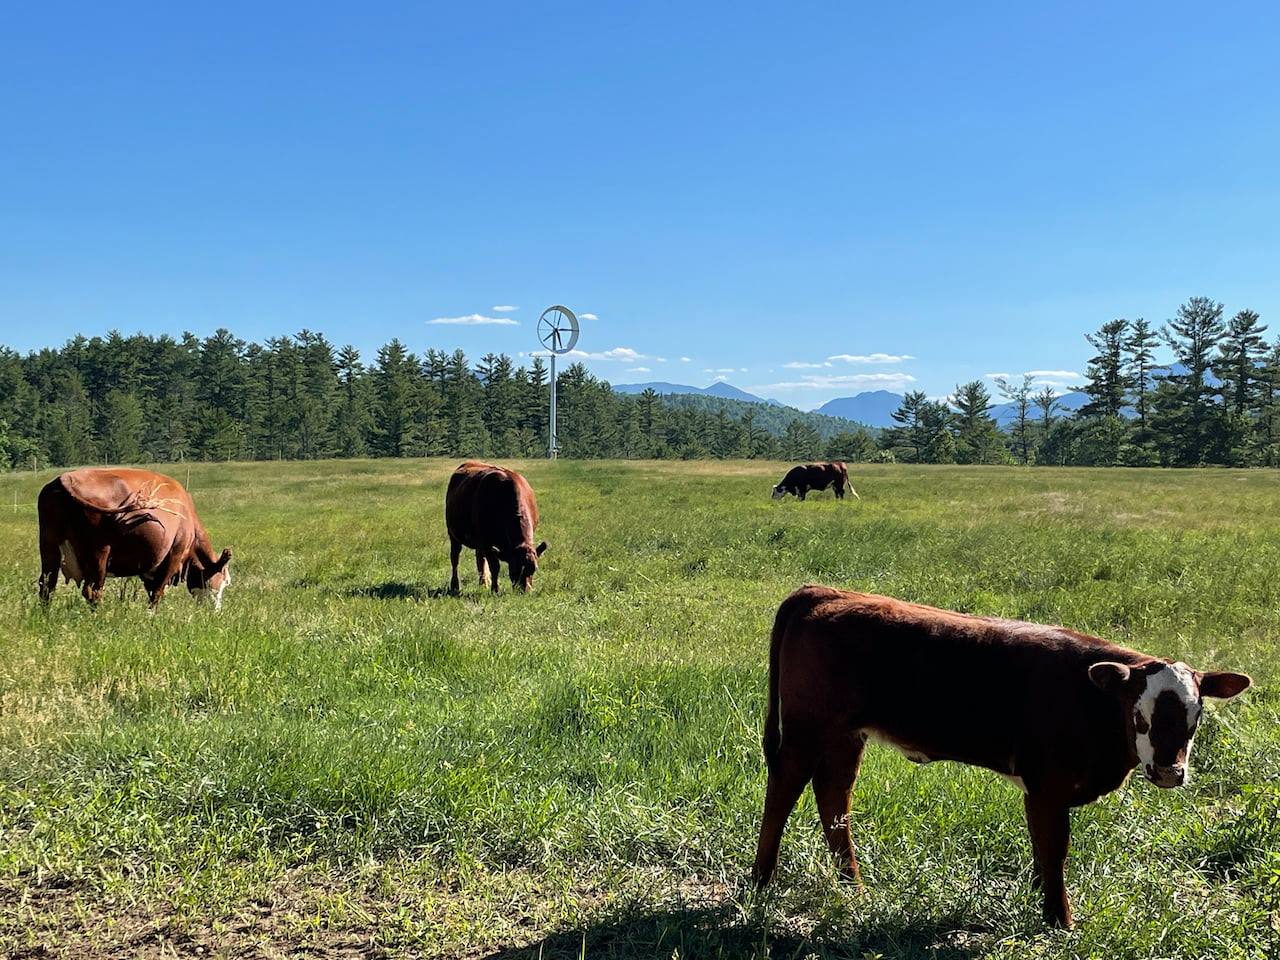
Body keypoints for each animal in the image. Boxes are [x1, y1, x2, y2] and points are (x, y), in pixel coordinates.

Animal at [38, 468, 233, 609]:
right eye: (223, 582)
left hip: (49, 546)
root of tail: (67, 477)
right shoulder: (174, 555)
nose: (216, 611)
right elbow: (157, 593)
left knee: (46, 586)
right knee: (93, 591)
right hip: (99, 552)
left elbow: (151, 590)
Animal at [445, 461, 547, 594]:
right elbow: (495, 566)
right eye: (514, 569)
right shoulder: (487, 542)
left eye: (534, 569)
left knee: (480, 559)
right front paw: (495, 589)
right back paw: (455, 585)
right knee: (455, 558)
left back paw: (483, 583)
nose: (524, 591)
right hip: (453, 534)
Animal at [752, 585, 1252, 928]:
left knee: (833, 795)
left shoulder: (1040, 792)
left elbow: (1041, 847)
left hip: (845, 736)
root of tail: (826, 591)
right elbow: (1055, 849)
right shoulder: (1048, 787)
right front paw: (1059, 920)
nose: (1169, 771)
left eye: (1195, 714)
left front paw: (1041, 900)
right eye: (1139, 714)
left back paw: (851, 884)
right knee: (783, 792)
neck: (1089, 697)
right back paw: (762, 879)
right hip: (805, 731)